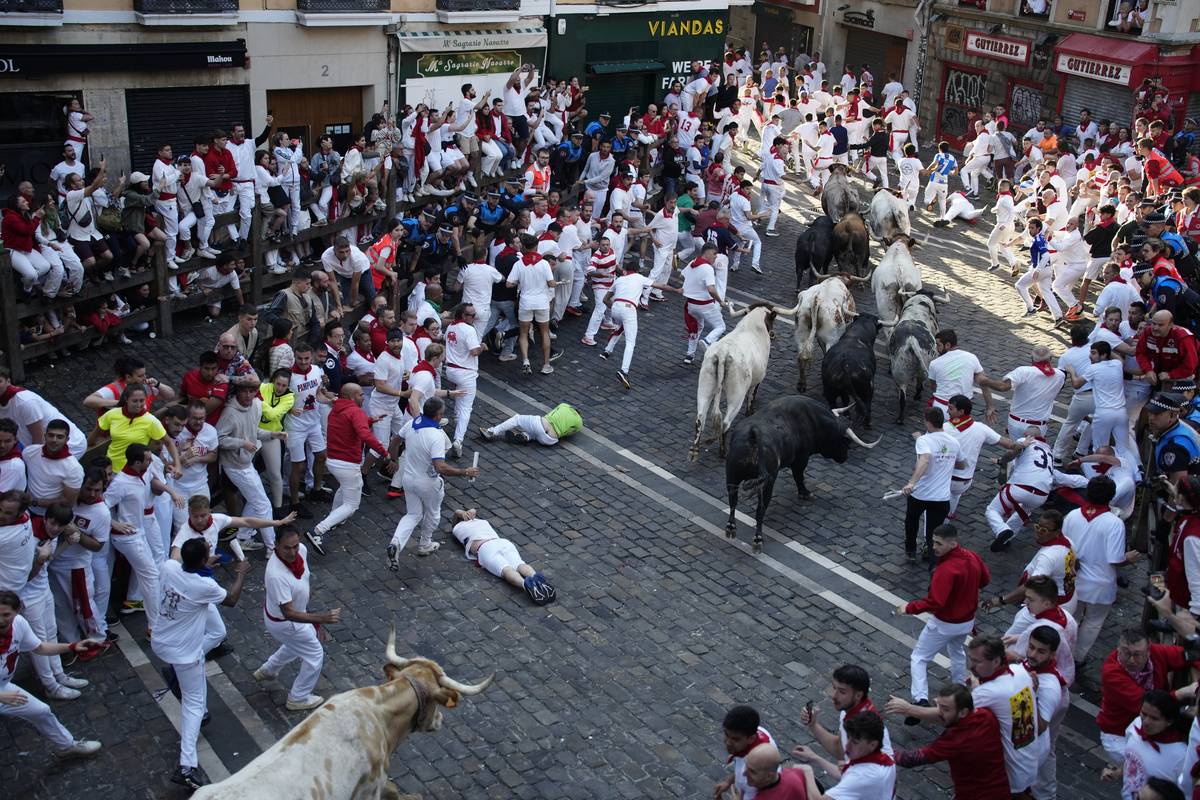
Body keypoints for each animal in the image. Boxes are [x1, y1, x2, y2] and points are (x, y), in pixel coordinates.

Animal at [691, 302, 792, 462]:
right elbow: (751, 398)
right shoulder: (758, 379)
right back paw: (723, 452)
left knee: (700, 419)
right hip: (736, 396)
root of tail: (723, 352)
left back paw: (693, 451)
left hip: (704, 388)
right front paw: (750, 414)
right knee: (725, 423)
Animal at [720, 398, 883, 554]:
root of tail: (753, 434)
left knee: (733, 499)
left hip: (732, 476)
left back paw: (731, 527)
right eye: (845, 443)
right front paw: (805, 493)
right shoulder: (802, 458)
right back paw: (758, 540)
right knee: (760, 510)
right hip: (767, 484)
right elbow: (799, 476)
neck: (813, 419)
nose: (845, 458)